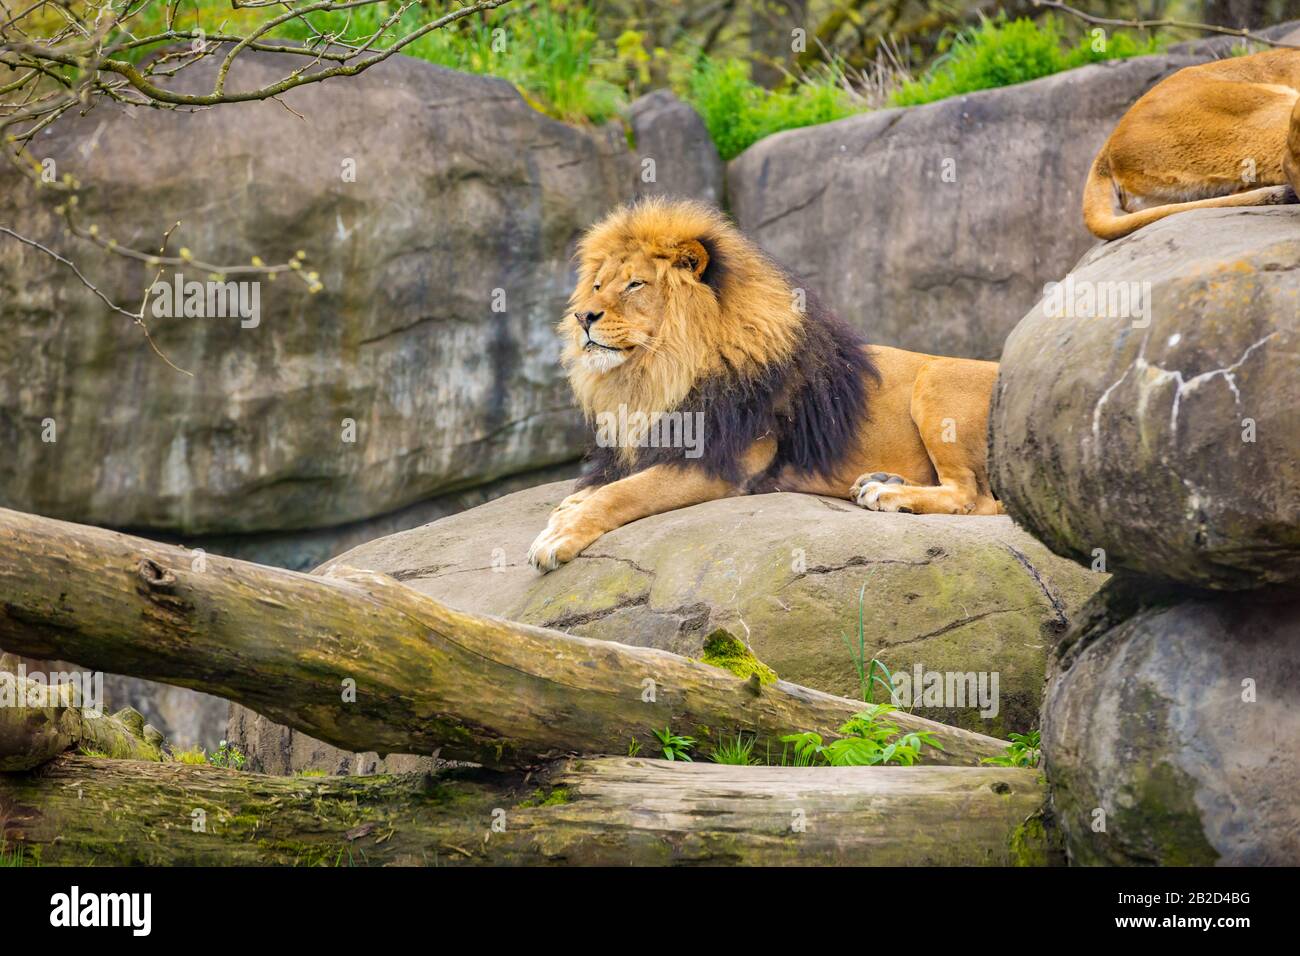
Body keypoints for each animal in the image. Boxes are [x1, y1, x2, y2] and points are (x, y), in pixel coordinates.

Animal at [527, 198, 1001, 573]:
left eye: (634, 284)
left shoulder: (721, 463)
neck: (658, 371)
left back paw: (887, 493)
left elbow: (621, 494)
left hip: (937, 382)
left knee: (971, 497)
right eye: (596, 285)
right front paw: (567, 509)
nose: (582, 317)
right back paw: (882, 481)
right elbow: (604, 485)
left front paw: (558, 535)